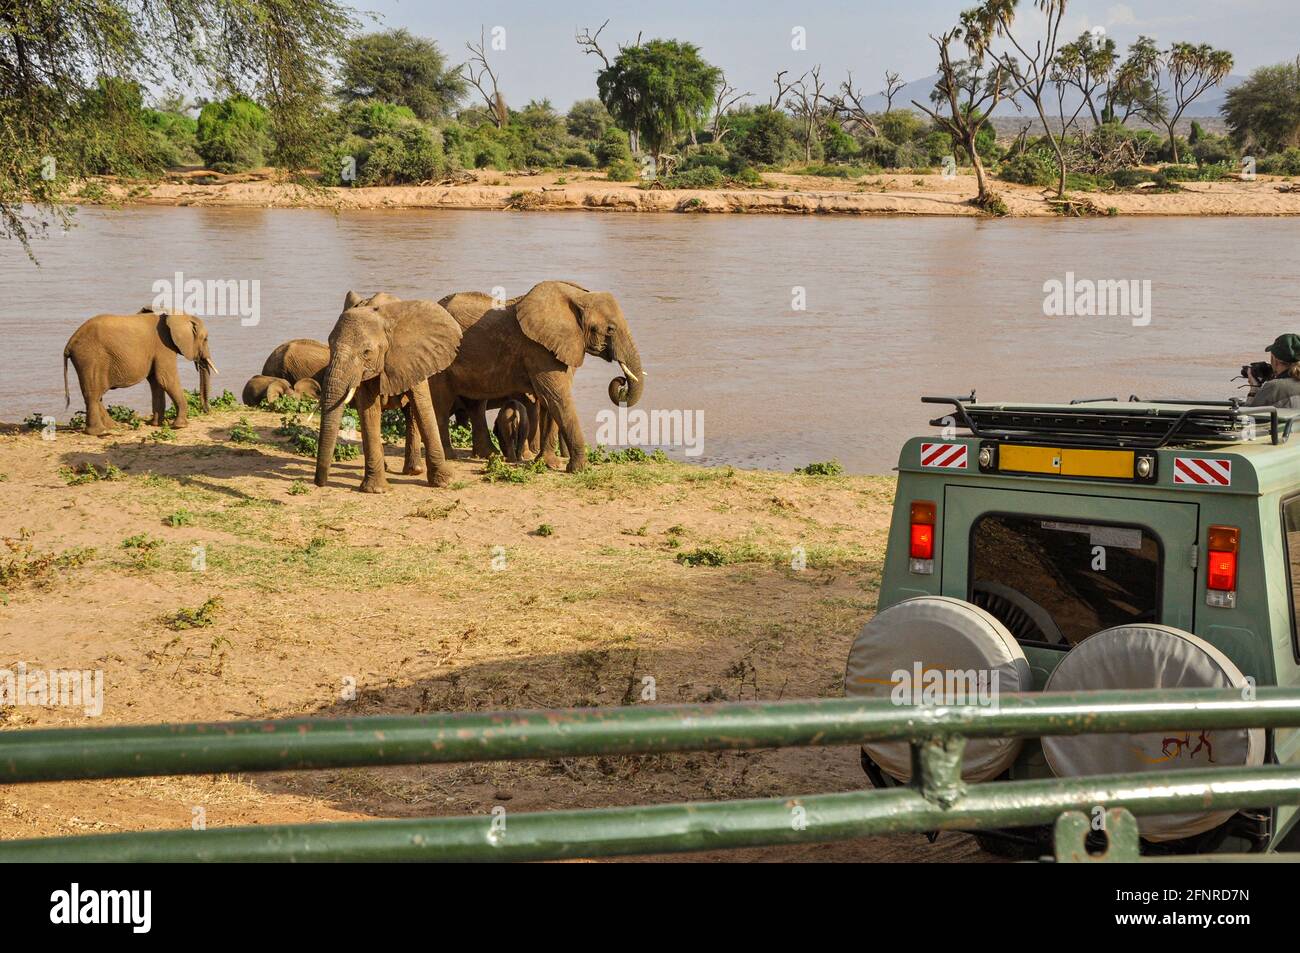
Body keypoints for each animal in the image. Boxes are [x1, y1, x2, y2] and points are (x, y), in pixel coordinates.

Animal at [64, 306, 217, 436]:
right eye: (206, 339)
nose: (207, 411)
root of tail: (69, 345)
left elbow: (156, 381)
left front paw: (155, 424)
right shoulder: (163, 347)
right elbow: (166, 379)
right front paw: (180, 426)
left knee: (96, 395)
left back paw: (114, 426)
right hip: (90, 358)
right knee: (93, 394)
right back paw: (100, 432)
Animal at [314, 289, 462, 491]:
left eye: (366, 352)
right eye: (329, 345)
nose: (319, 483)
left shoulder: (415, 357)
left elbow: (422, 406)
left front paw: (445, 482)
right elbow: (369, 411)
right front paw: (376, 490)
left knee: (412, 412)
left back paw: (414, 471)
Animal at [434, 282, 642, 475]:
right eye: (611, 329)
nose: (621, 382)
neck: (578, 297)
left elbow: (550, 400)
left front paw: (549, 464)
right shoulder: (538, 350)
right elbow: (557, 397)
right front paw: (579, 469)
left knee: (475, 404)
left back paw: (488, 455)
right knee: (442, 404)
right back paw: (451, 456)